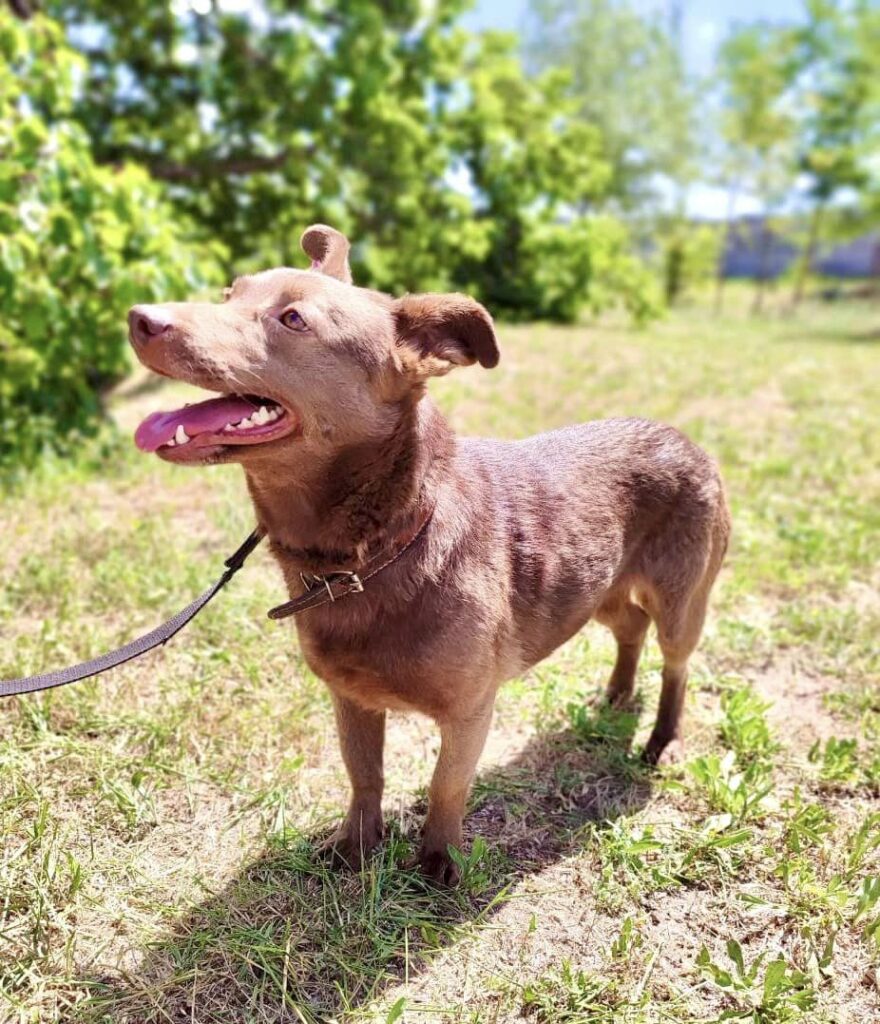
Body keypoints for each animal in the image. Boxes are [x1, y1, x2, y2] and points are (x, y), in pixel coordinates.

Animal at [129, 228, 729, 884]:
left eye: (292, 319)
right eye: (228, 293)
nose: (139, 318)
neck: (369, 555)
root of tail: (688, 439)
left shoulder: (470, 710)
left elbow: (447, 786)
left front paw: (438, 862)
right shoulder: (351, 698)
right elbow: (364, 775)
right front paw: (355, 847)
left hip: (681, 597)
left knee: (676, 662)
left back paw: (662, 738)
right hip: (595, 589)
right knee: (630, 625)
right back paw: (618, 693)